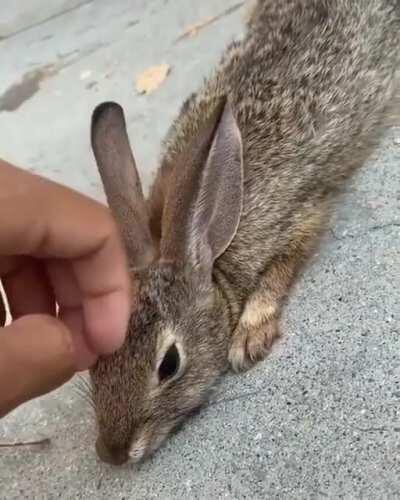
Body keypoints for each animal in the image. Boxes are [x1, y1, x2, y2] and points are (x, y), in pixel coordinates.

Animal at [88, 0, 400, 464]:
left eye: (169, 364)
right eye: (93, 360)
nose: (111, 453)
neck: (207, 252)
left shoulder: (296, 213)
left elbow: (285, 263)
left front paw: (249, 336)